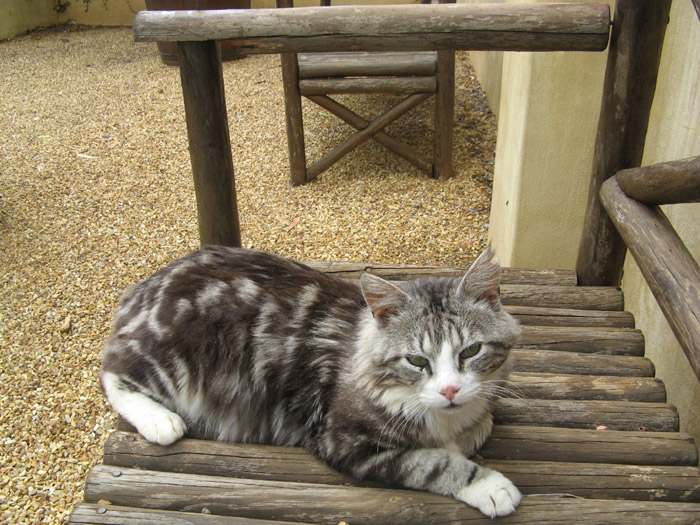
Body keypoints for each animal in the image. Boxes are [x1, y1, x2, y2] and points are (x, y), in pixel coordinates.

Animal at [101, 246, 524, 516]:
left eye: (471, 351)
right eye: (417, 361)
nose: (450, 390)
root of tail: (141, 289)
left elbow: (481, 422)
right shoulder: (345, 440)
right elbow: (434, 464)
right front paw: (489, 485)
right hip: (177, 357)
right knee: (112, 370)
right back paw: (160, 421)